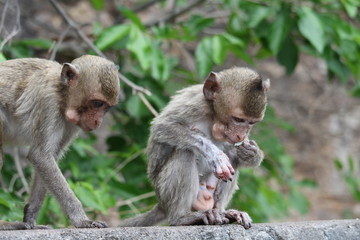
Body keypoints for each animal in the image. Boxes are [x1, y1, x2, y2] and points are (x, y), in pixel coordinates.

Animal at [0, 55, 121, 230]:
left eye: (106, 107)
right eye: (97, 103)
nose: (98, 122)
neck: (62, 92)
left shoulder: (71, 123)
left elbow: (49, 159)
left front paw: (30, 218)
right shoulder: (48, 102)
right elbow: (41, 156)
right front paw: (80, 219)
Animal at [119, 66, 268, 228]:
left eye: (251, 123)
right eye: (238, 119)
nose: (241, 135)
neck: (214, 117)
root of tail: (162, 204)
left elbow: (239, 155)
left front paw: (252, 153)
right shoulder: (195, 104)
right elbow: (162, 128)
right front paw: (214, 154)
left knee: (231, 157)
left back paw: (222, 211)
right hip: (165, 191)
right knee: (185, 152)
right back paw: (180, 218)